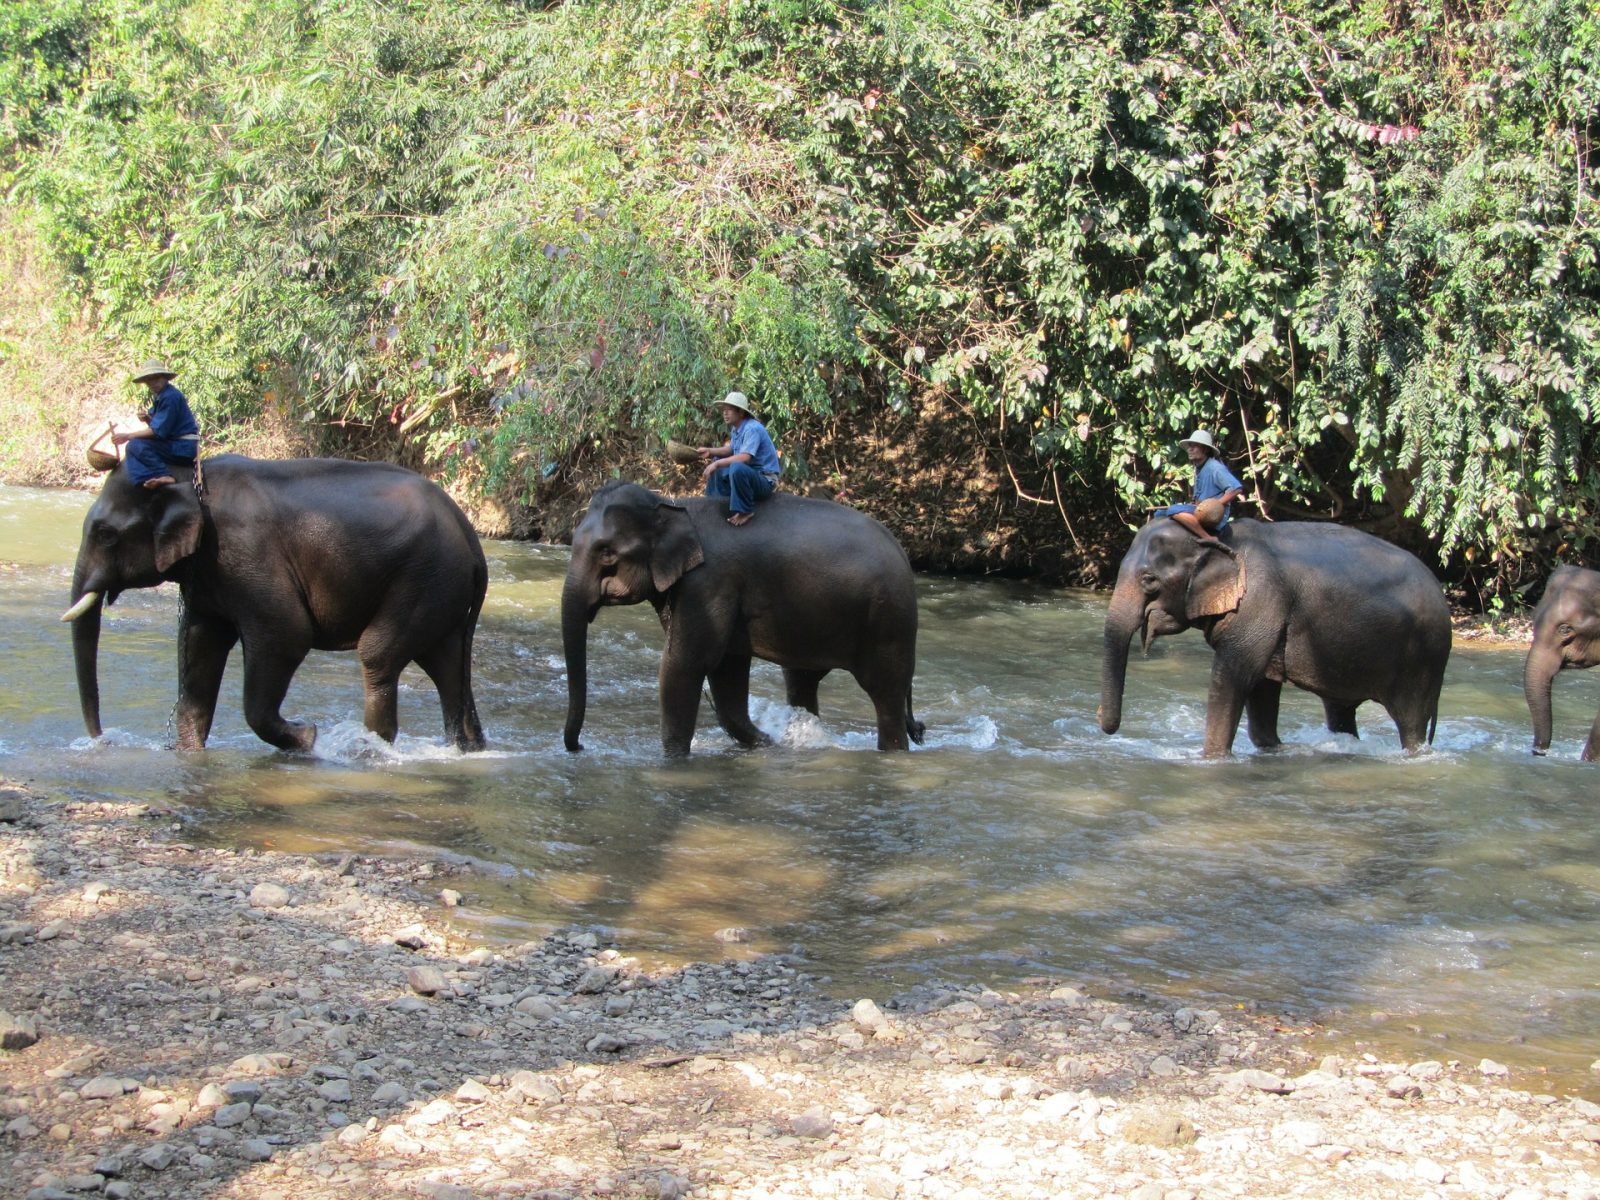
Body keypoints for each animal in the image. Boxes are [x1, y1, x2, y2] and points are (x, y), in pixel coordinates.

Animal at [62, 456, 488, 752]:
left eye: (106, 534)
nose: (103, 738)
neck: (191, 477)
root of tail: (471, 534)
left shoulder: (248, 555)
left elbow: (286, 635)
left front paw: (308, 737)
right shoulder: (209, 578)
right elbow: (200, 647)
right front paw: (189, 753)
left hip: (424, 577)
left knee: (379, 655)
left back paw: (368, 750)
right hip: (440, 590)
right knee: (445, 664)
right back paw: (464, 749)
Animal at [562, 481, 923, 756]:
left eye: (606, 553)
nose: (579, 747)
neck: (674, 507)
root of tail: (903, 552)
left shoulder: (709, 582)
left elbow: (686, 663)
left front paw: (673, 760)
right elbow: (726, 670)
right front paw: (766, 743)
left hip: (889, 621)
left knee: (885, 694)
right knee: (801, 682)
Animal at [1099, 518, 1452, 757]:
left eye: (1149, 580)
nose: (1103, 719)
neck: (1217, 538)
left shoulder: (1260, 602)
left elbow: (1236, 677)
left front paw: (1210, 758)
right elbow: (1262, 687)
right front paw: (1274, 750)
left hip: (1421, 660)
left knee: (1411, 722)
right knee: (1340, 711)